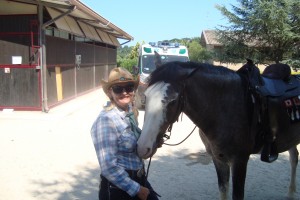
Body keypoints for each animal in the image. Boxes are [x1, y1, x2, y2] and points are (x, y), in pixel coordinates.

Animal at [137, 60, 300, 199]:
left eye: (172, 101)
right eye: (146, 96)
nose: (142, 147)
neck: (226, 108)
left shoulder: (240, 160)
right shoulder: (218, 158)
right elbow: (223, 190)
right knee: (294, 157)